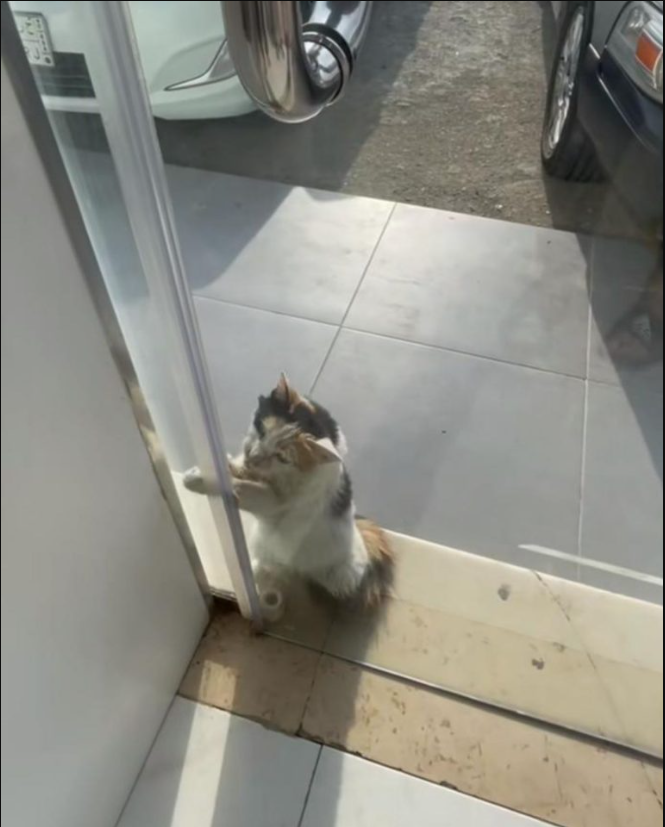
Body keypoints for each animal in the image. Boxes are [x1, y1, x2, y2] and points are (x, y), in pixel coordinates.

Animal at [184, 376, 392, 608]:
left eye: (282, 457)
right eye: (262, 430)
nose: (254, 456)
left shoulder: (274, 503)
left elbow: (241, 487)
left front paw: (198, 479)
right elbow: (237, 468)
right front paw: (217, 467)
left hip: (336, 574)